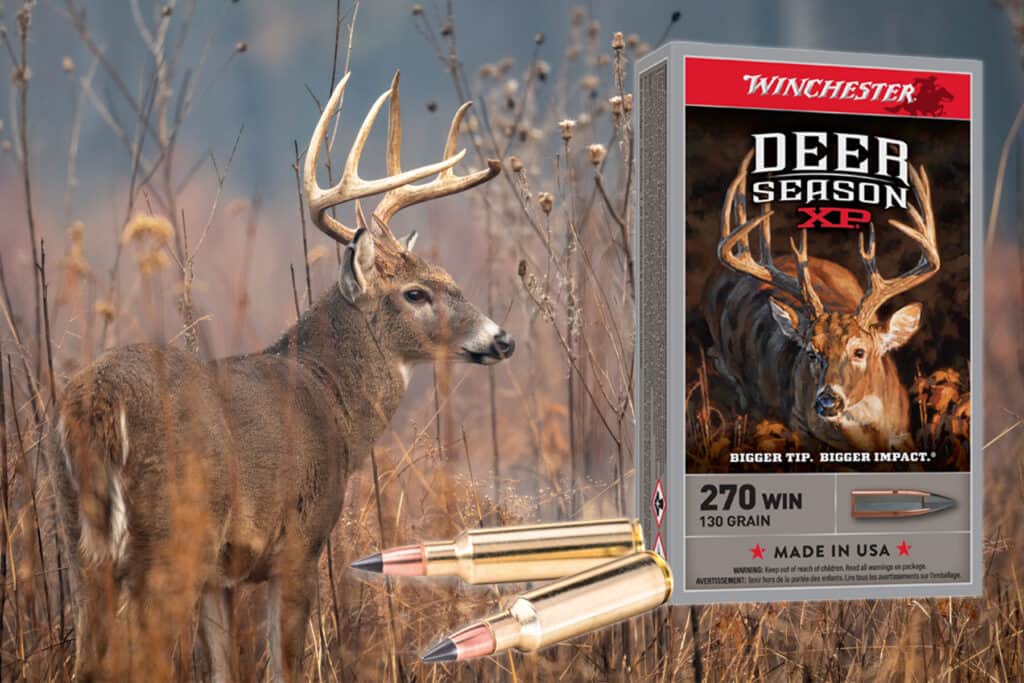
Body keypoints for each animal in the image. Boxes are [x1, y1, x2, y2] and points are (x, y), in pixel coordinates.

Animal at [51, 70, 513, 681]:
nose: (501, 338)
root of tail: (100, 401)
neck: (329, 400)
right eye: (416, 293)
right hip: (170, 539)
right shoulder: (301, 542)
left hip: (82, 546)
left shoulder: (220, 578)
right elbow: (284, 666)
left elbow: (226, 669)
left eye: (449, 277)